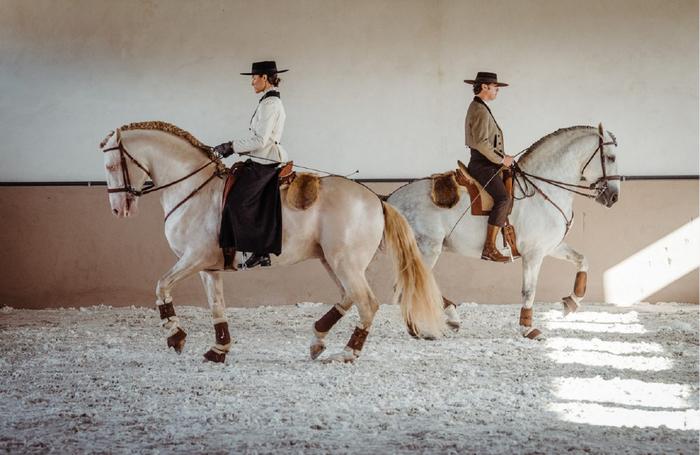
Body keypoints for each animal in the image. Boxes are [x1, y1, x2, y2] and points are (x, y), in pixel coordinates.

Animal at [101, 121, 446, 364]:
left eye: (111, 165)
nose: (118, 210)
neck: (194, 188)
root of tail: (376, 200)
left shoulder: (193, 258)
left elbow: (161, 286)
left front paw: (175, 336)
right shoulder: (207, 267)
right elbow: (216, 306)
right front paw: (219, 349)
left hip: (344, 262)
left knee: (367, 303)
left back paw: (346, 353)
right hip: (333, 261)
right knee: (349, 297)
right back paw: (317, 340)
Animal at [386, 124, 620, 338]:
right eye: (610, 157)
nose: (614, 197)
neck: (541, 191)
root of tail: (392, 199)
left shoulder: (550, 247)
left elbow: (582, 260)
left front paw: (571, 302)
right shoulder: (533, 254)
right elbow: (529, 291)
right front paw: (528, 328)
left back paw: (444, 319)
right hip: (427, 249)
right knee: (411, 287)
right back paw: (422, 329)